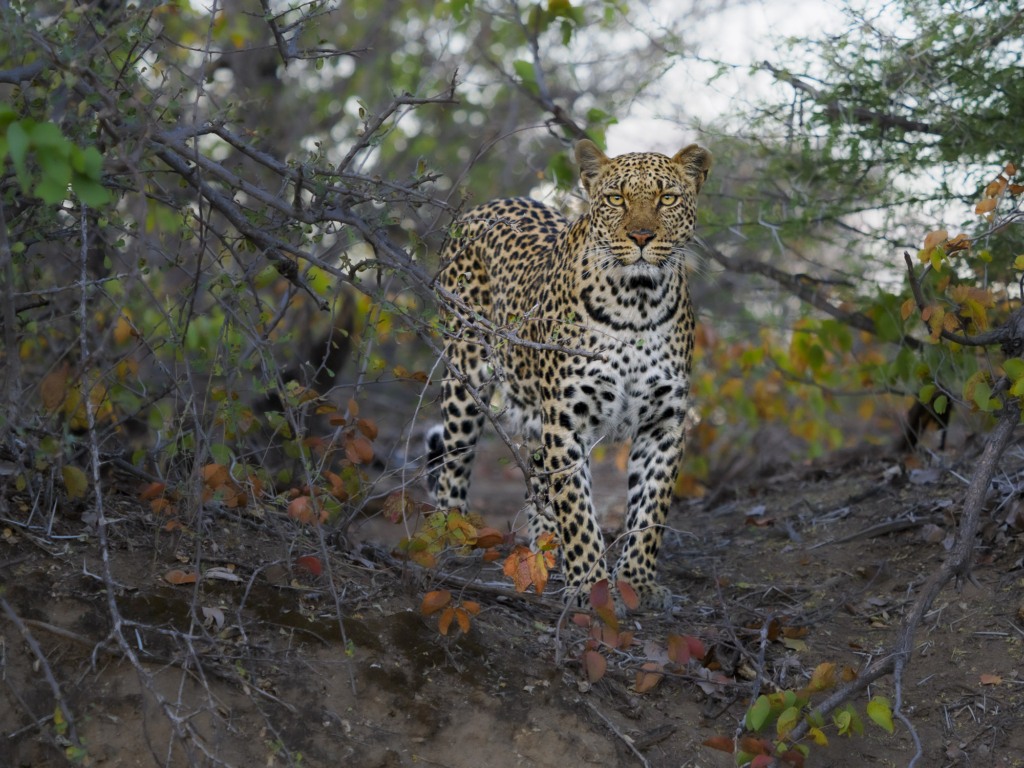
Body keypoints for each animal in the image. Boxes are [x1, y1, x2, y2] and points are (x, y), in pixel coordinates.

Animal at [423, 140, 712, 614]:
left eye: (667, 198)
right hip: (465, 377)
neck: (639, 302)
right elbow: (577, 510)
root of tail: (483, 207)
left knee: (536, 486)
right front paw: (591, 587)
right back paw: (451, 538)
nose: (641, 238)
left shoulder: (664, 423)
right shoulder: (566, 419)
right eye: (616, 199)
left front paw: (637, 582)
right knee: (454, 462)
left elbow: (650, 511)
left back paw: (545, 550)